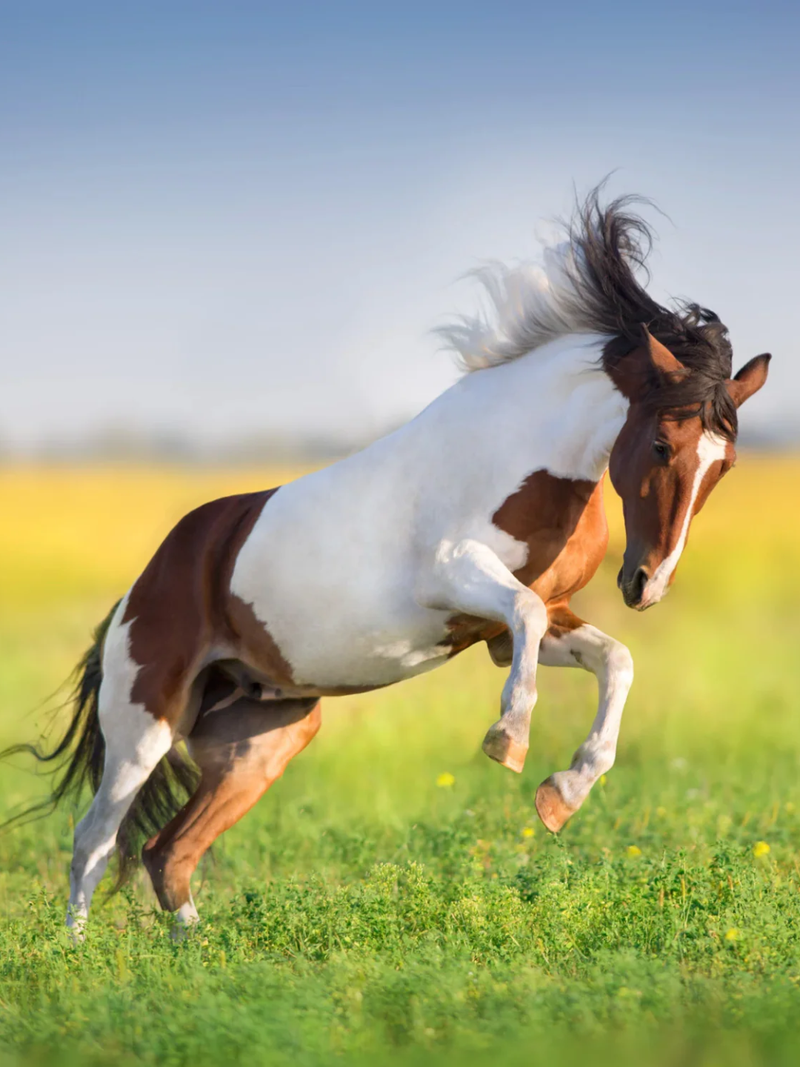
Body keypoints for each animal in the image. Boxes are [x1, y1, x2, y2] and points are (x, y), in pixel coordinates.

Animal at [6, 190, 770, 935]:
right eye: (663, 445)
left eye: (724, 465)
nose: (646, 584)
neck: (523, 452)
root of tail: (143, 587)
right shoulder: (458, 578)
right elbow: (528, 619)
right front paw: (508, 741)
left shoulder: (516, 628)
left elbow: (616, 660)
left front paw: (562, 794)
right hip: (145, 723)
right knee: (94, 840)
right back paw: (79, 955)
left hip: (263, 738)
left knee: (169, 852)